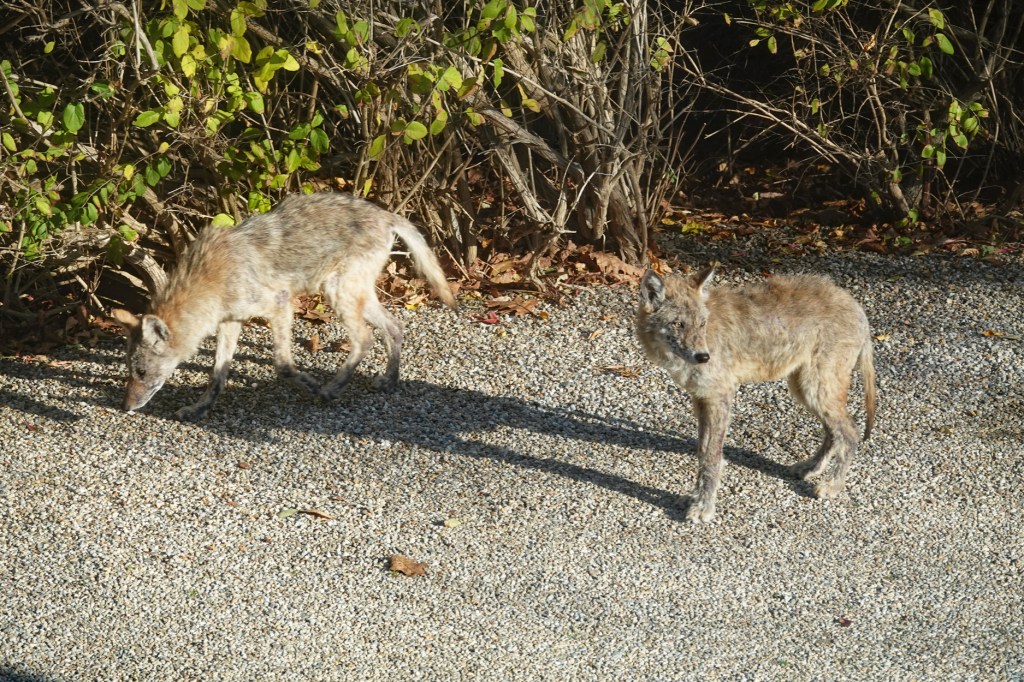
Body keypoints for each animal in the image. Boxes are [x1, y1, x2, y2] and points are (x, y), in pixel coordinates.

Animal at [112, 192, 456, 421]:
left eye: (141, 371)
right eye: (129, 371)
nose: (125, 406)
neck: (209, 280)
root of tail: (385, 214)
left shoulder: (279, 304)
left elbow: (282, 365)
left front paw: (313, 387)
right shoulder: (230, 322)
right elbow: (217, 375)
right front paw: (199, 408)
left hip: (337, 294)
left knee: (365, 339)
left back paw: (332, 388)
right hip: (354, 296)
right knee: (395, 328)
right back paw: (389, 381)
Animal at [636, 268, 876, 523]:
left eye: (702, 324)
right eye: (678, 324)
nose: (703, 357)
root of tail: (858, 308)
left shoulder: (720, 397)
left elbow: (711, 457)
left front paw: (703, 506)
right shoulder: (701, 398)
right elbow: (702, 451)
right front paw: (694, 498)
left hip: (815, 390)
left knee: (851, 433)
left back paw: (832, 486)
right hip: (805, 390)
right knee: (833, 433)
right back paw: (810, 468)